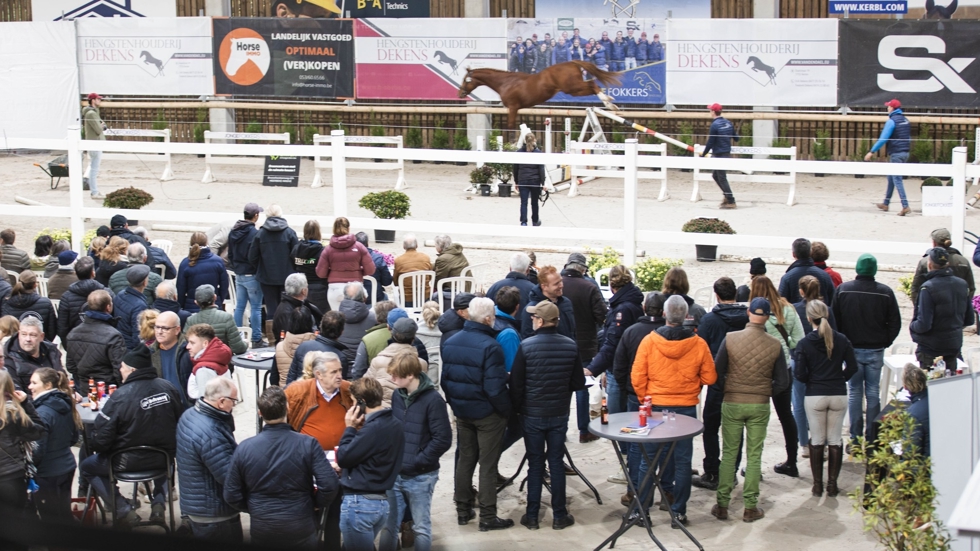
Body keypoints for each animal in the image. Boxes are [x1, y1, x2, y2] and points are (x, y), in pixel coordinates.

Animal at [458, 59, 620, 132]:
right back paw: (611, 103)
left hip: (572, 88)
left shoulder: (513, 107)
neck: (505, 82)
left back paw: (609, 103)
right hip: (574, 89)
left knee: (592, 84)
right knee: (592, 84)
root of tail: (571, 62)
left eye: (465, 80)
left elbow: (511, 128)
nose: (460, 93)